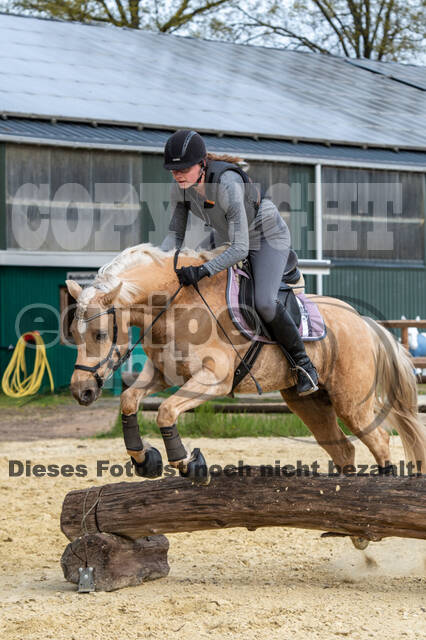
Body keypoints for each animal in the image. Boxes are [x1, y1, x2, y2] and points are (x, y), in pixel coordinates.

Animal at [66, 244, 426, 496]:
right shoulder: (164, 374)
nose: (82, 391)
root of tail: (365, 323)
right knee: (343, 448)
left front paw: (189, 465)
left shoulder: (215, 379)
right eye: (73, 333)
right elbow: (129, 400)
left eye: (100, 335)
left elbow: (166, 411)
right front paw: (145, 460)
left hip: (352, 402)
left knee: (379, 440)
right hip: (309, 403)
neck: (173, 304)